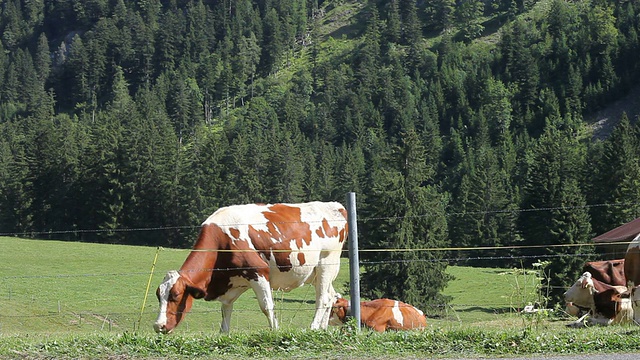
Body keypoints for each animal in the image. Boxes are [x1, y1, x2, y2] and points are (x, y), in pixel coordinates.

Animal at [153, 202, 348, 334]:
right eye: (159, 296)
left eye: (176, 295)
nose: (158, 325)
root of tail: (335, 206)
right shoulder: (232, 283)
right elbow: (225, 311)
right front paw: (224, 335)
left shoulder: (258, 272)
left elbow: (267, 306)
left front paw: (275, 331)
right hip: (315, 273)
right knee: (331, 296)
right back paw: (322, 329)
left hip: (326, 264)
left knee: (322, 299)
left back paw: (313, 327)